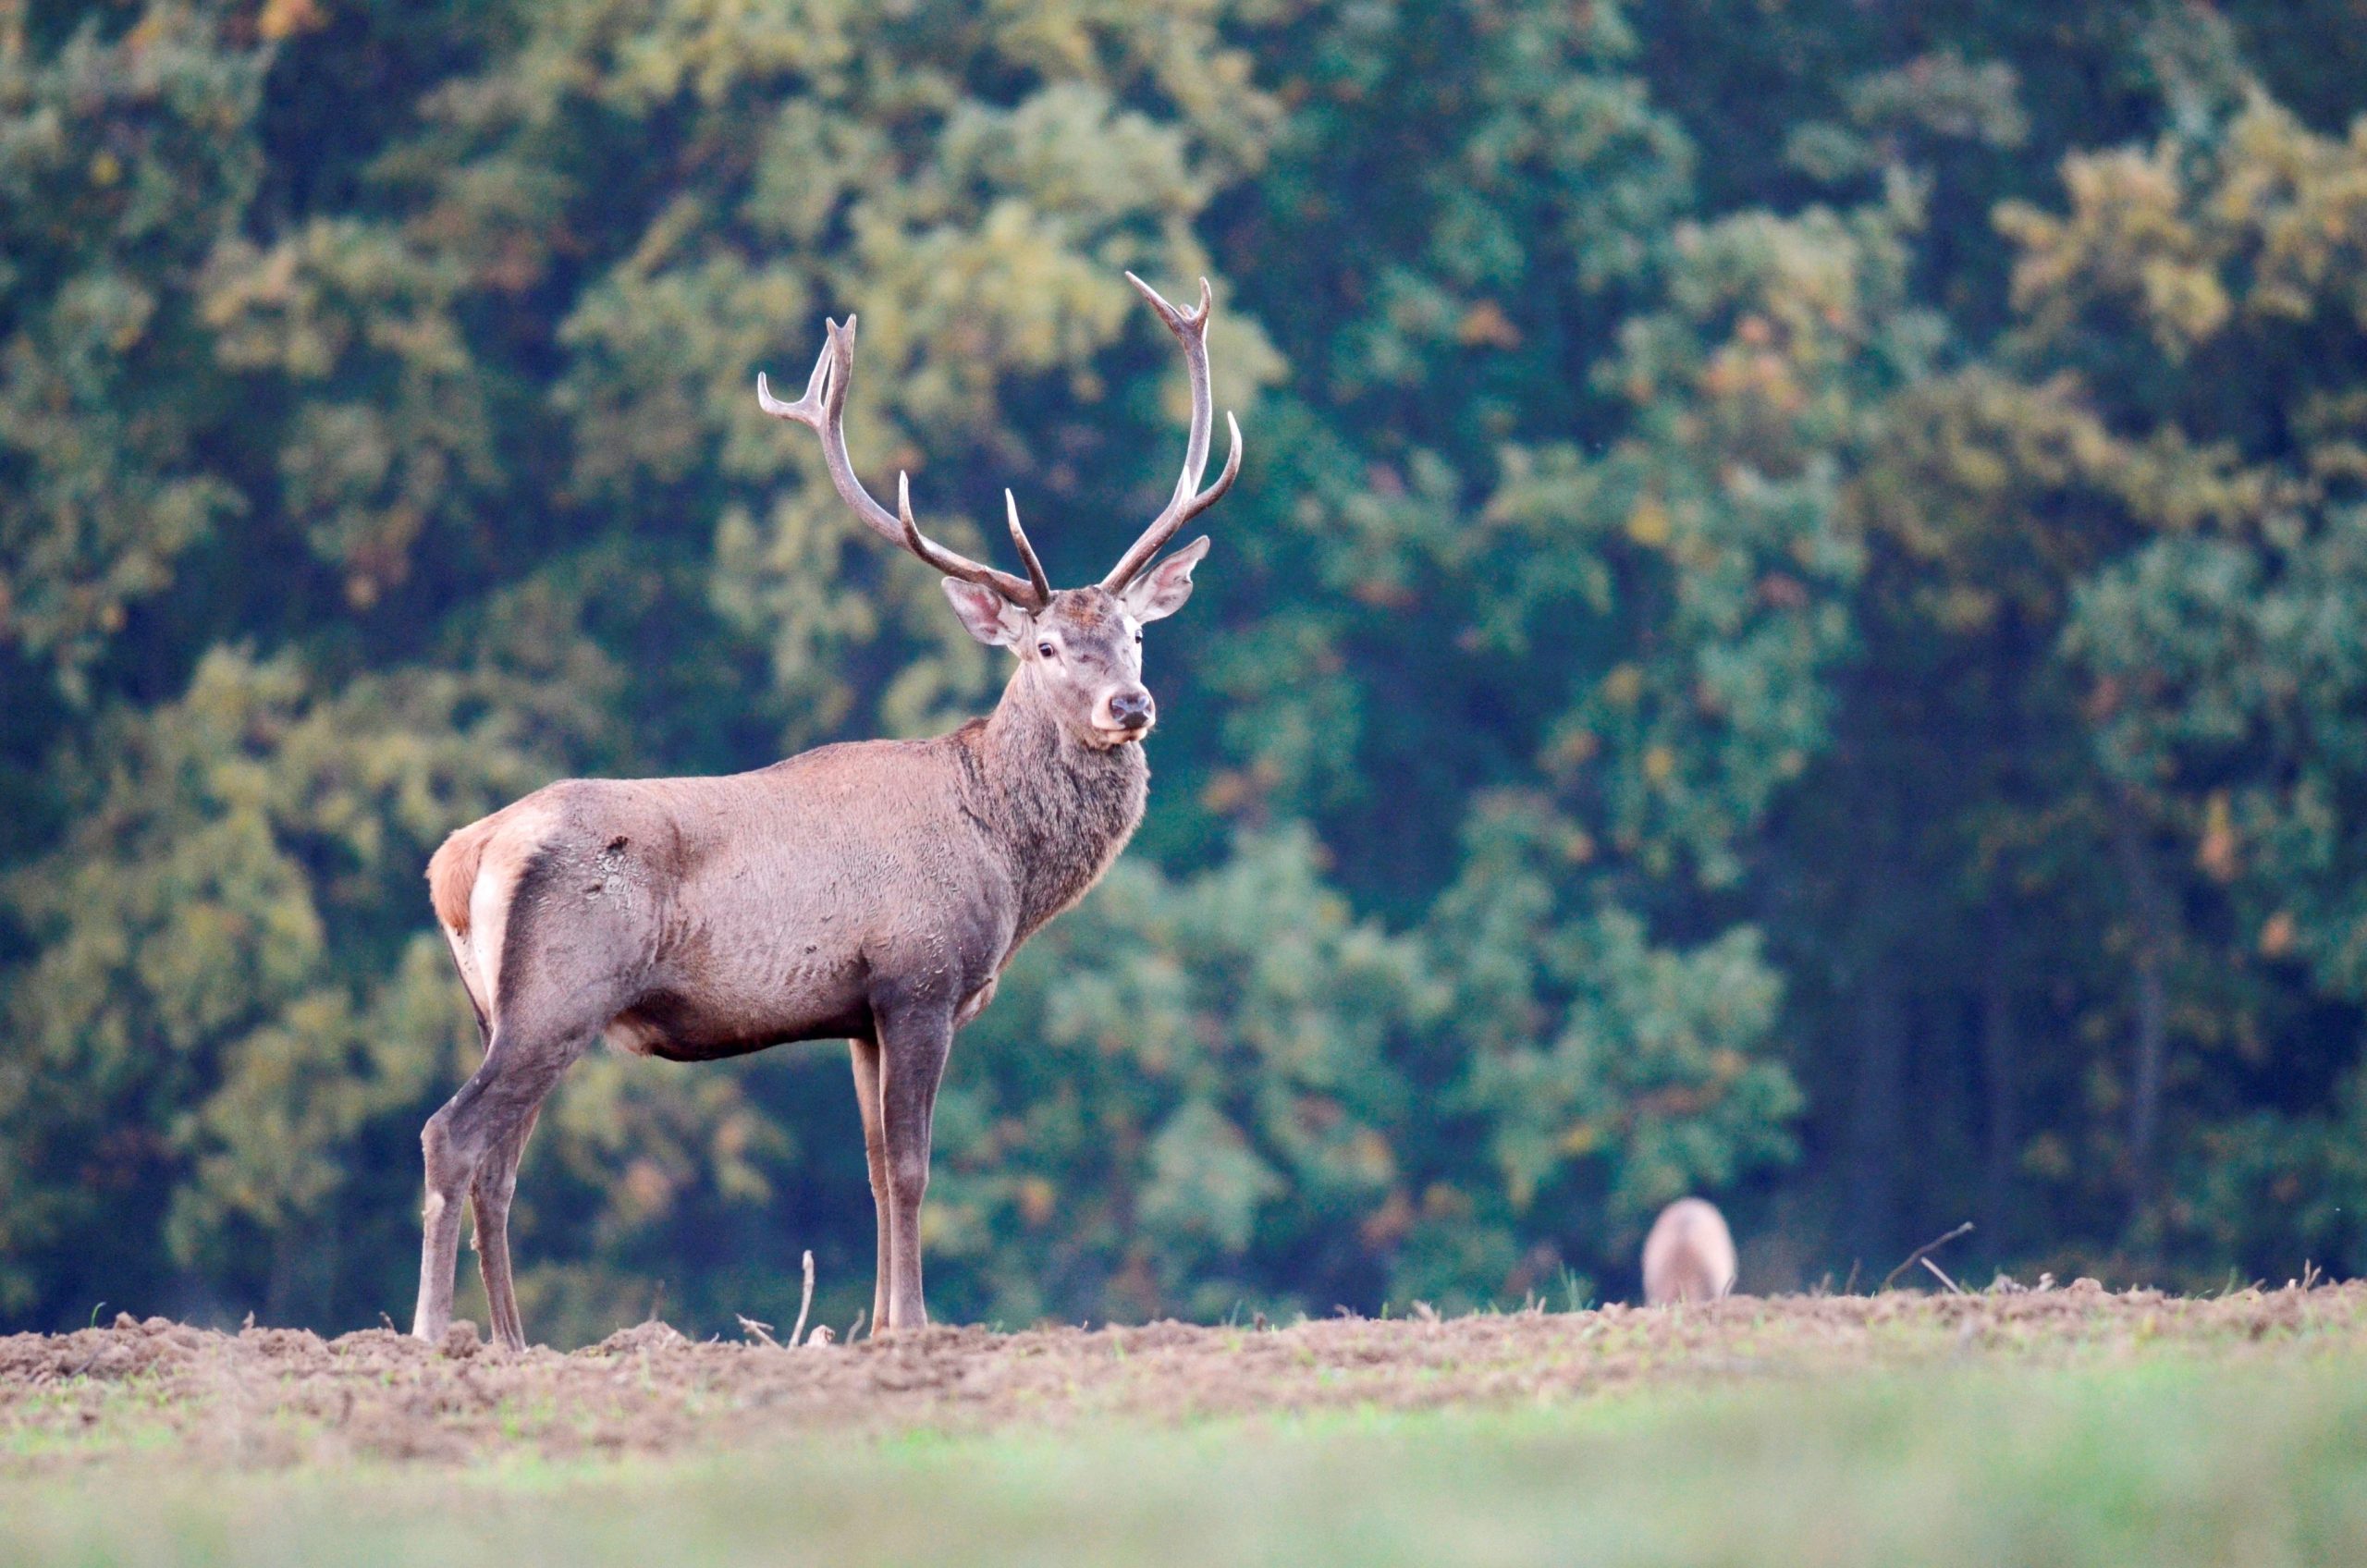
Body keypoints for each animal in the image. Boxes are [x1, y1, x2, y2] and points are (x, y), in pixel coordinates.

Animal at [414, 270, 1249, 1354]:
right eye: (1046, 648)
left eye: (1137, 635)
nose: (1131, 707)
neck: (1003, 857)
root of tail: (459, 860)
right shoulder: (919, 976)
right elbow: (912, 1166)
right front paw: (917, 1328)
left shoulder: (857, 1012)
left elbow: (873, 1172)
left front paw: (881, 1325)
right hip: (561, 989)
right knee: (454, 1134)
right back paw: (432, 1333)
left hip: (505, 1008)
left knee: (501, 1161)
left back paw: (514, 1343)